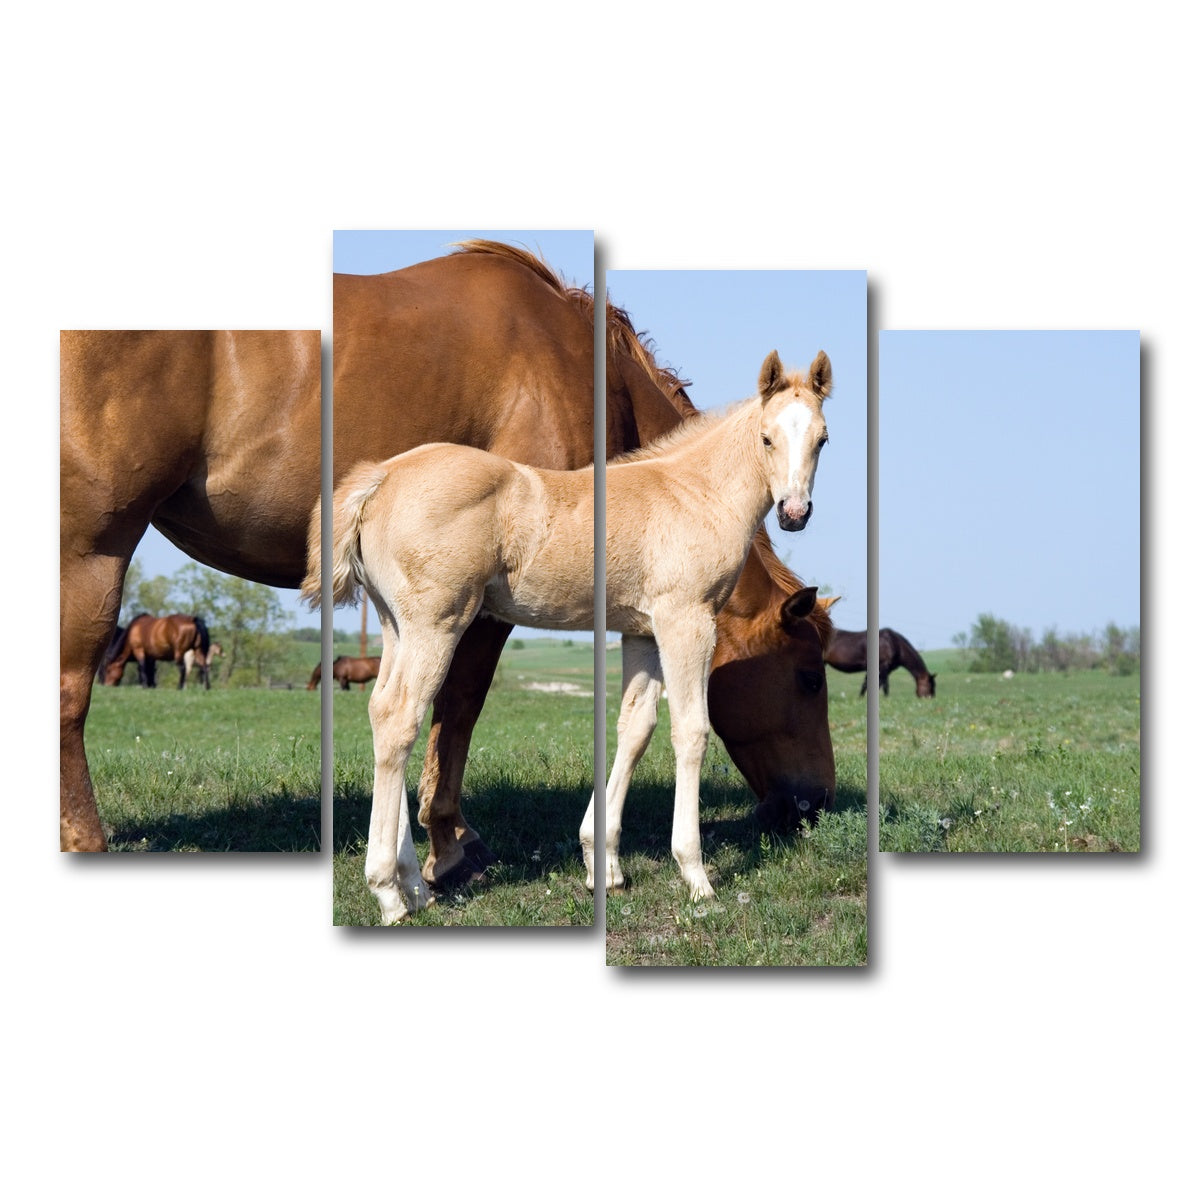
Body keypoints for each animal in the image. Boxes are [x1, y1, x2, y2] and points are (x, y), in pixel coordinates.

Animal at [61, 239, 834, 858]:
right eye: (808, 676)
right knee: (72, 691)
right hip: (92, 551)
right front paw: (447, 842)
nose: (817, 802)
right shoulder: (489, 602)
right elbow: (459, 704)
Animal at [303, 348, 832, 921]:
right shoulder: (686, 620)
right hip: (435, 623)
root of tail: (381, 475)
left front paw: (606, 867)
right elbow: (691, 731)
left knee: (382, 711)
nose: (795, 513)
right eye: (767, 438)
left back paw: (415, 889)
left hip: (395, 625)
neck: (694, 494)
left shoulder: (642, 632)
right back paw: (389, 893)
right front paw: (696, 875)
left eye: (822, 439)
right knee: (401, 718)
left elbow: (635, 728)